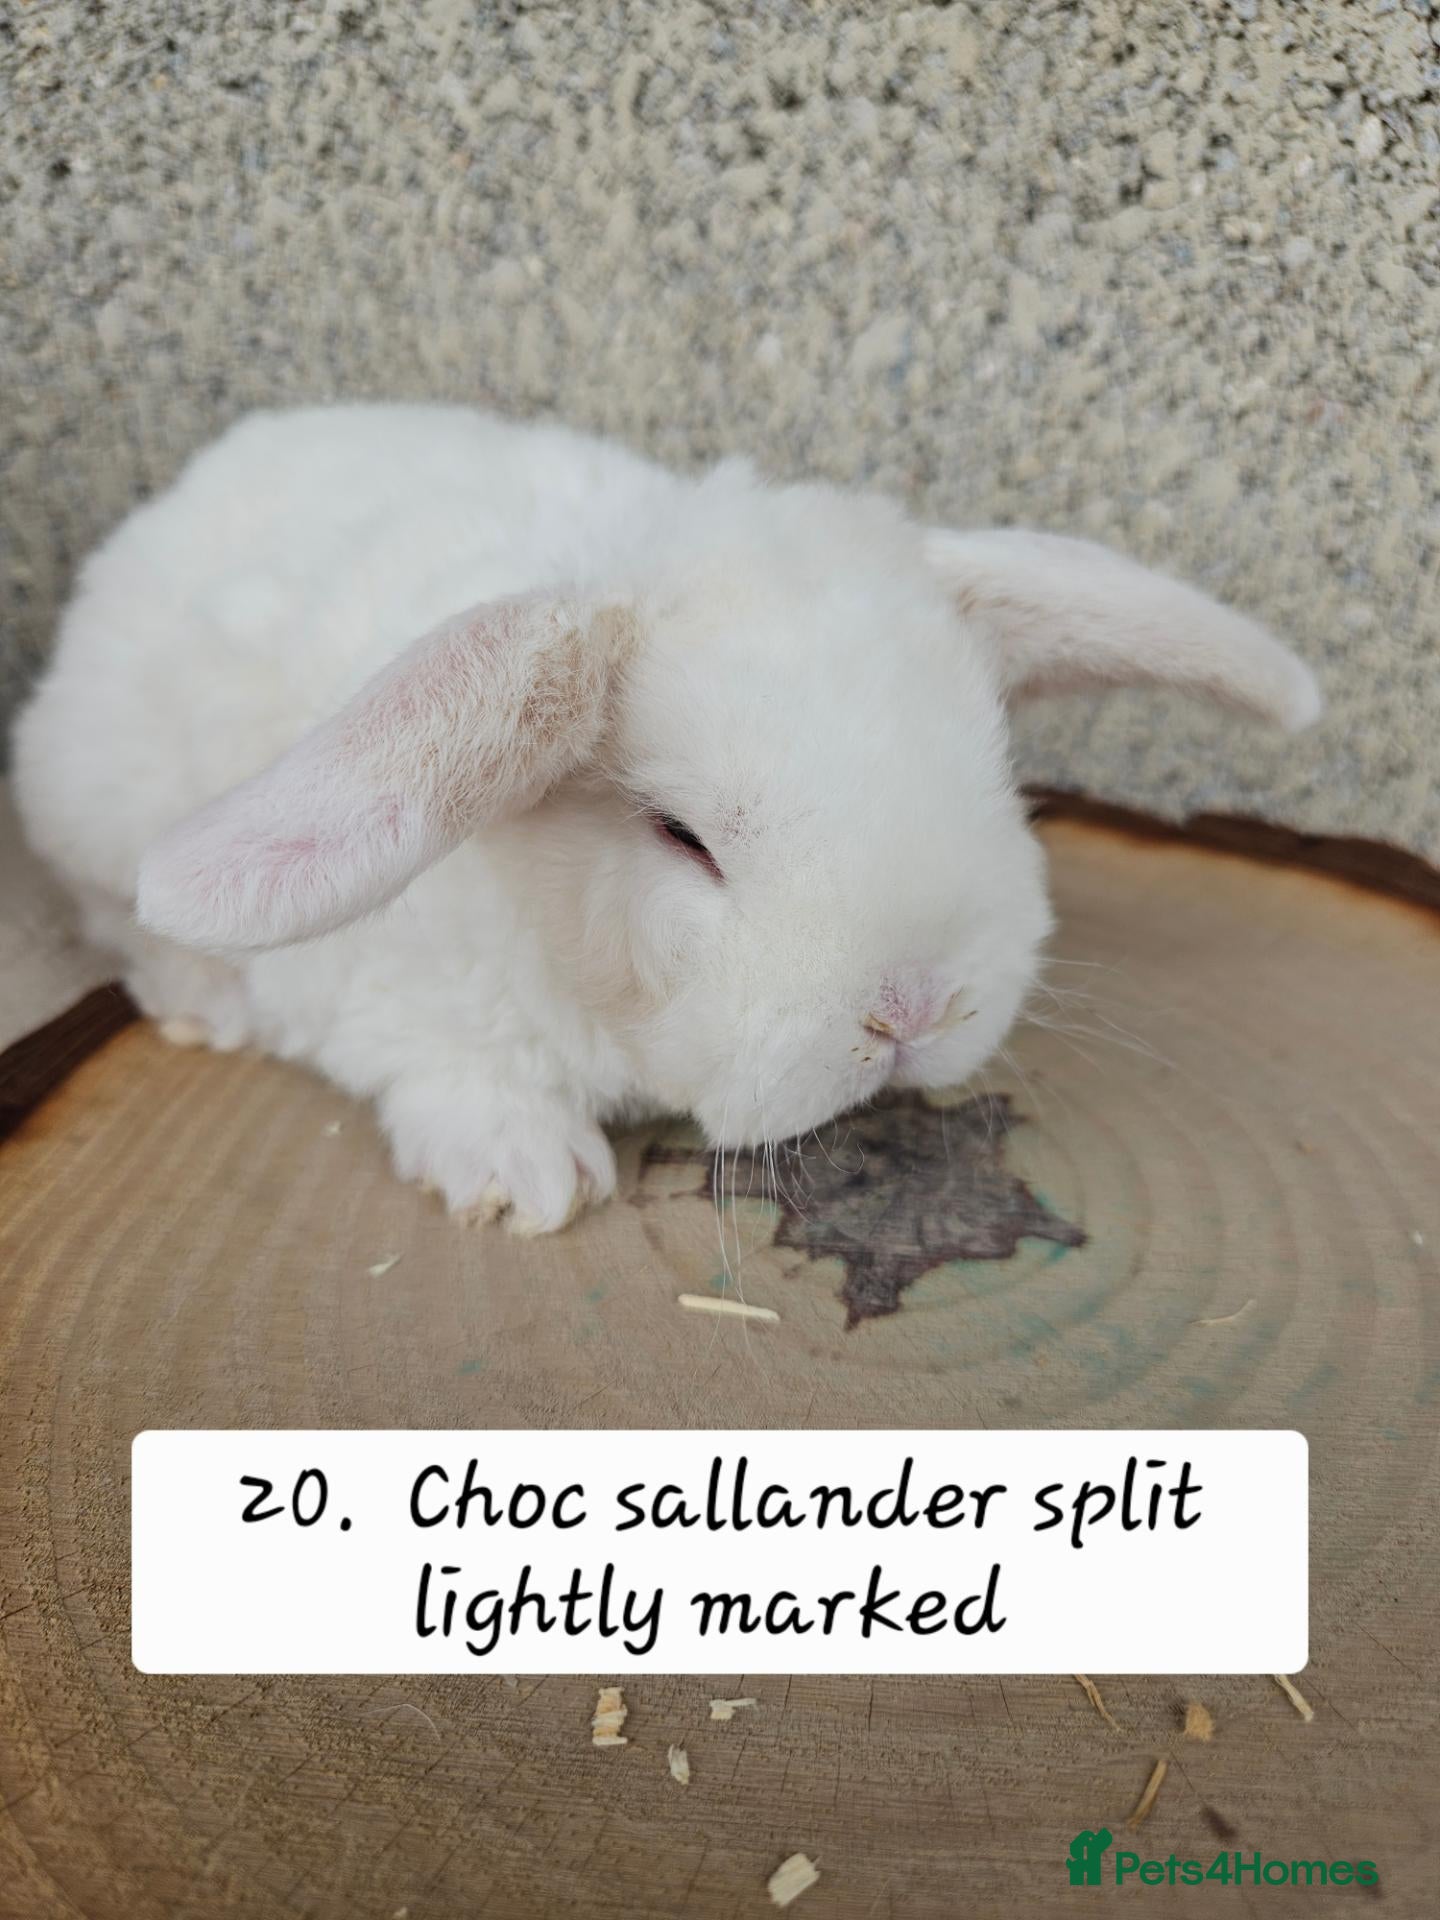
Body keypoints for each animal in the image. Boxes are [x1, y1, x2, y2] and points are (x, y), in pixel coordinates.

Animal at [11, 405, 1321, 1233]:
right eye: (683, 839)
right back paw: (205, 1001)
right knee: (108, 913)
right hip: (95, 806)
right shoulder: (378, 991)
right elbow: (438, 1063)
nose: (911, 1008)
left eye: (994, 771)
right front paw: (530, 1174)